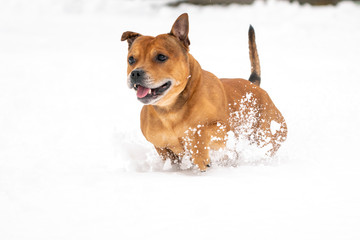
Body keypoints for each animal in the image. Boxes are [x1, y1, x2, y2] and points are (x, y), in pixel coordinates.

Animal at [121, 13, 286, 171]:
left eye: (161, 57)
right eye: (131, 59)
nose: (136, 73)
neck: (170, 110)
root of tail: (254, 85)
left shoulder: (224, 130)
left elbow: (200, 132)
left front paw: (200, 157)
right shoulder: (160, 146)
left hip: (268, 133)